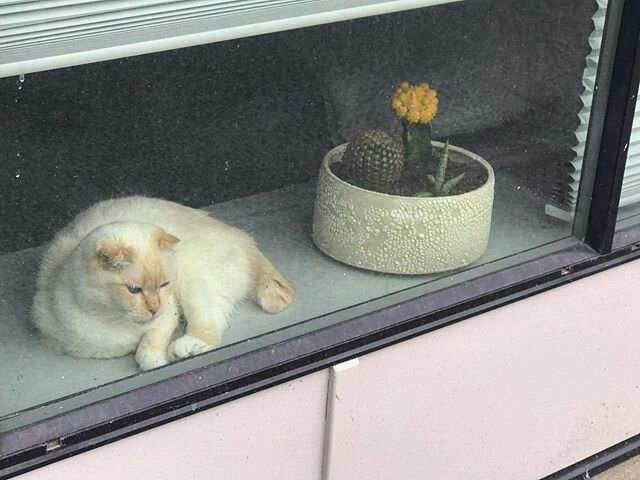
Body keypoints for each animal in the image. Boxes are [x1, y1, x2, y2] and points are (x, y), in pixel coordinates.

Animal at [32, 195, 296, 372]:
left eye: (164, 285)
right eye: (134, 290)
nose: (154, 308)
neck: (115, 321)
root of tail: (241, 236)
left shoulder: (169, 312)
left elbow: (152, 341)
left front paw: (154, 358)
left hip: (194, 284)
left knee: (208, 327)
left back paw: (187, 347)